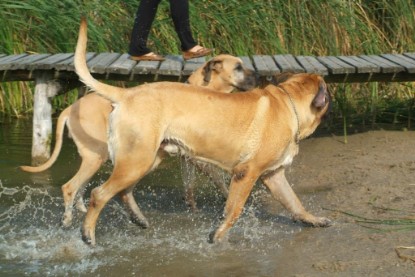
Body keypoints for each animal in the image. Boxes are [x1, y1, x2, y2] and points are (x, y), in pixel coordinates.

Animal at [20, 52, 256, 225]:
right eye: (238, 67)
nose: (257, 77)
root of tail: (70, 108)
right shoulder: (197, 157)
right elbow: (218, 179)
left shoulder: (186, 157)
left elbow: (190, 186)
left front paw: (193, 206)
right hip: (100, 157)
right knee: (71, 187)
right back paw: (69, 219)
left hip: (98, 159)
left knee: (81, 188)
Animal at [73, 18, 334, 245]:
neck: (289, 105)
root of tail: (127, 93)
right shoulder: (246, 173)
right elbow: (234, 209)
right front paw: (217, 236)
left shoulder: (274, 175)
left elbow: (294, 202)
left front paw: (313, 219)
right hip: (137, 159)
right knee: (99, 194)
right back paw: (87, 235)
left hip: (146, 158)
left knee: (123, 192)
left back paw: (138, 219)